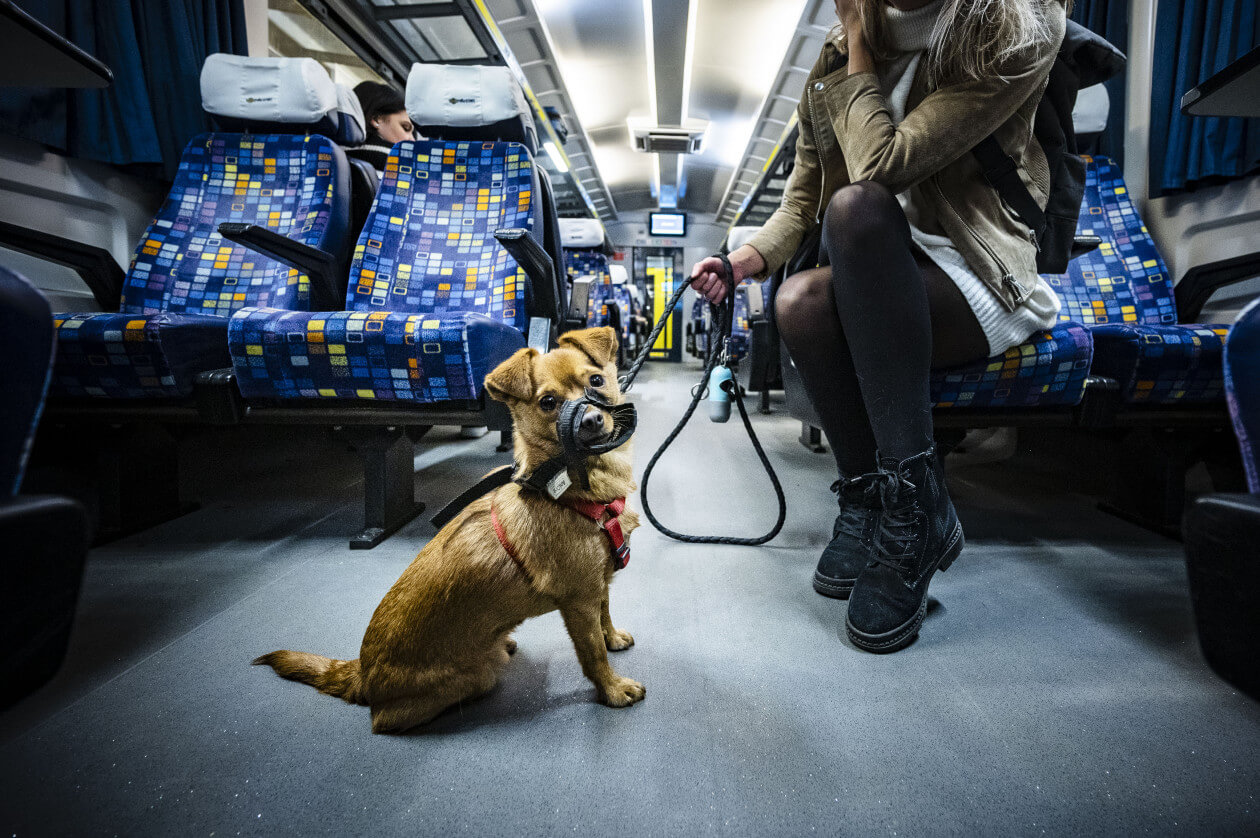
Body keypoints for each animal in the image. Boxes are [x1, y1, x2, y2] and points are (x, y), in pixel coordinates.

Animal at [255, 327, 650, 730]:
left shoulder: (597, 583)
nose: (591, 420)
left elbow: (606, 614)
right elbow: (593, 652)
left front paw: (614, 638)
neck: (569, 491)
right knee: (388, 718)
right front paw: (613, 690)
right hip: (475, 676)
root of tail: (362, 674)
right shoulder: (578, 599)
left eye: (597, 381)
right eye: (548, 402)